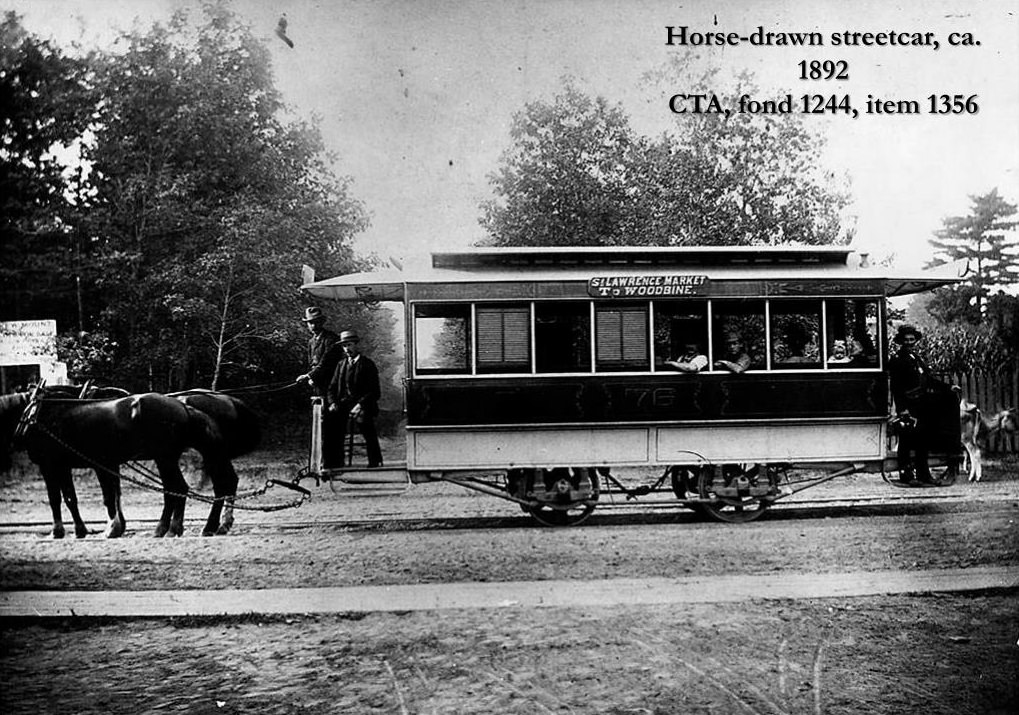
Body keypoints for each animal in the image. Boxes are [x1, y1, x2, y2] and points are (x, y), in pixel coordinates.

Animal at [0, 391, 234, 537]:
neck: (37, 415)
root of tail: (183, 406)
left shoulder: (50, 466)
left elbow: (57, 499)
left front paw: (59, 531)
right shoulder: (65, 466)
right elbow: (71, 498)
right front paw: (81, 530)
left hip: (165, 458)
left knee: (177, 489)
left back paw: (170, 528)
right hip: (166, 459)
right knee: (178, 490)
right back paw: (174, 527)